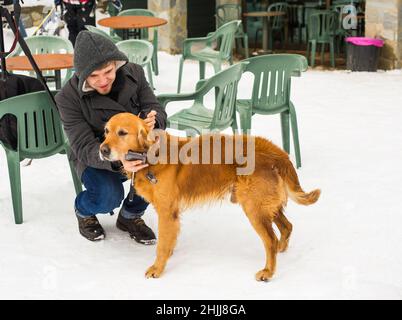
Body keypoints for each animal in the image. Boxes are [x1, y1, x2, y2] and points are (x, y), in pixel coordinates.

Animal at [99, 112, 318, 280]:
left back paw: (268, 271)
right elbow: (168, 241)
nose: (102, 150)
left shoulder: (167, 212)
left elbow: (161, 245)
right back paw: (281, 250)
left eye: (122, 133)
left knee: (270, 240)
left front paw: (157, 269)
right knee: (287, 226)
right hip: (263, 205)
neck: (150, 155)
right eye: (106, 131)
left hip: (254, 208)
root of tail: (277, 152)